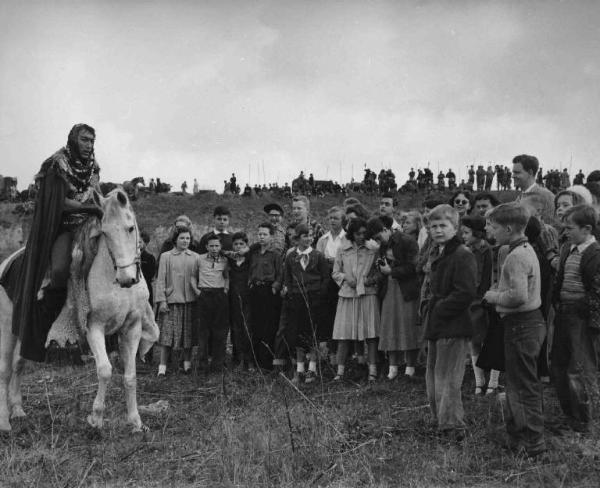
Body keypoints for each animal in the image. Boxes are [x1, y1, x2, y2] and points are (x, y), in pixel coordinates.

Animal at [0, 189, 159, 432]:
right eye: (105, 232)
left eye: (130, 228)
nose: (126, 279)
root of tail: (6, 263)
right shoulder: (93, 327)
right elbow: (105, 370)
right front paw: (96, 419)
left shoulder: (132, 327)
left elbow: (130, 376)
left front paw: (135, 421)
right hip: (7, 328)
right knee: (5, 370)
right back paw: (4, 422)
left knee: (19, 364)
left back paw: (17, 410)